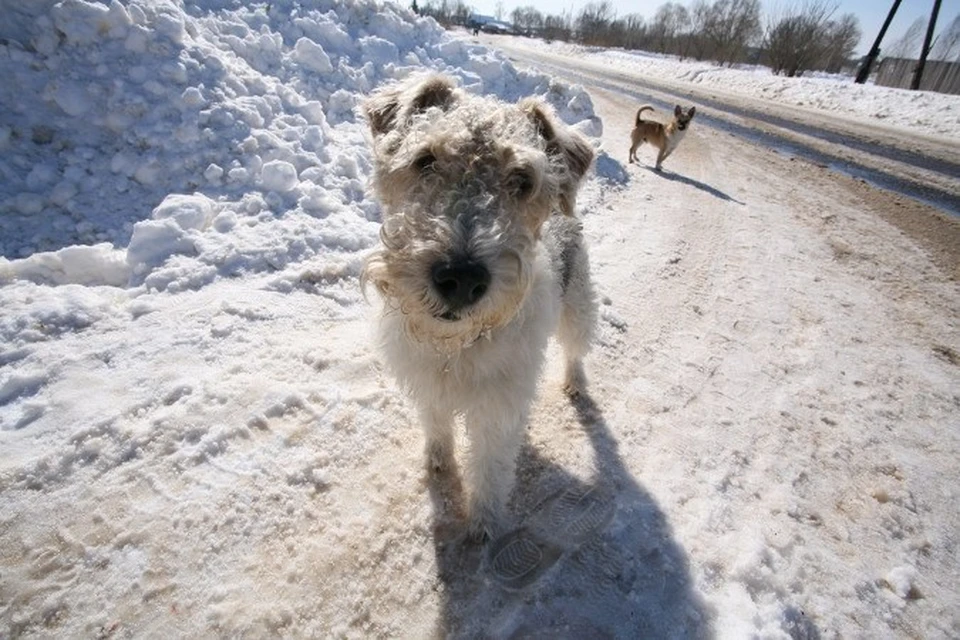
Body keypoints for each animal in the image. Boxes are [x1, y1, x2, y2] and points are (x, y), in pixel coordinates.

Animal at [362, 72, 596, 536]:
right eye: (425, 160)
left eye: (522, 179)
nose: (461, 280)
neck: (455, 345)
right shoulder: (427, 382)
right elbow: (437, 426)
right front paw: (437, 463)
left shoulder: (497, 406)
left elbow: (491, 466)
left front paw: (483, 526)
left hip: (578, 304)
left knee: (576, 350)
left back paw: (576, 382)